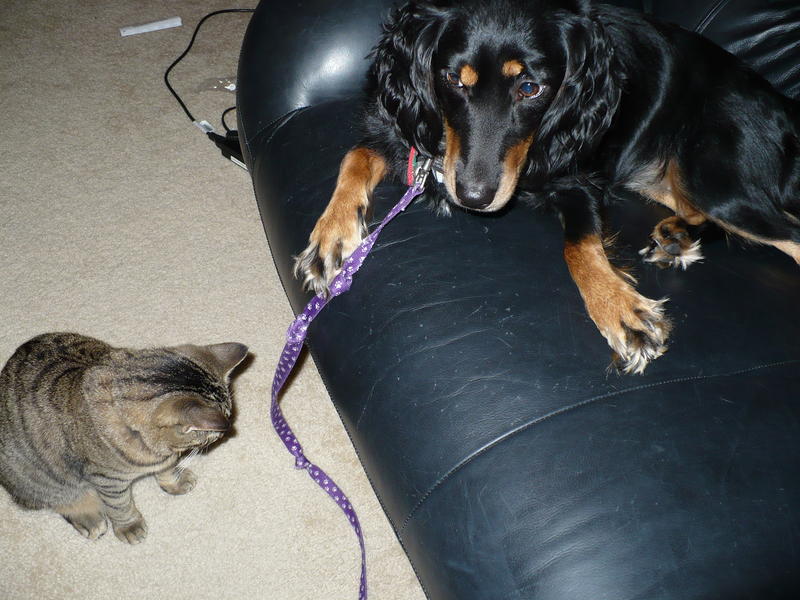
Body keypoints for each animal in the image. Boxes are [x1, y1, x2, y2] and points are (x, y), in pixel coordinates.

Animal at [0, 332, 247, 544]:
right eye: (212, 435)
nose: (227, 431)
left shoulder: (165, 458)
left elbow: (166, 470)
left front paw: (174, 481)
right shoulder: (107, 479)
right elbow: (120, 505)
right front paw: (130, 526)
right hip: (39, 480)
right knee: (57, 501)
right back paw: (89, 519)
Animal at [294, 0, 800, 372]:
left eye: (531, 89)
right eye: (452, 79)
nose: (473, 197)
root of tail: (783, 107)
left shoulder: (577, 178)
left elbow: (579, 247)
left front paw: (619, 309)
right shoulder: (404, 131)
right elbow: (356, 156)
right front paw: (331, 238)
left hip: (714, 178)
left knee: (787, 232)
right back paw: (678, 235)